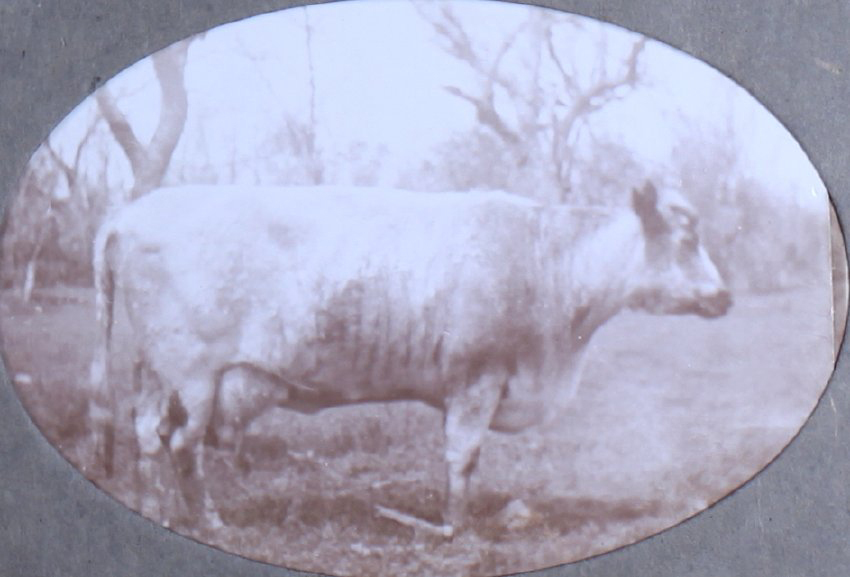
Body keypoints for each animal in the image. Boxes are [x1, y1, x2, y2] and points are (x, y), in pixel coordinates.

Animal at [87, 180, 731, 536]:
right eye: (687, 239)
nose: (724, 296)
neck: (547, 263)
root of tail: (129, 213)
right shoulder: (477, 379)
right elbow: (462, 456)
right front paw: (454, 526)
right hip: (193, 374)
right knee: (181, 445)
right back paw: (207, 518)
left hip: (155, 370)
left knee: (146, 434)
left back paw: (153, 506)